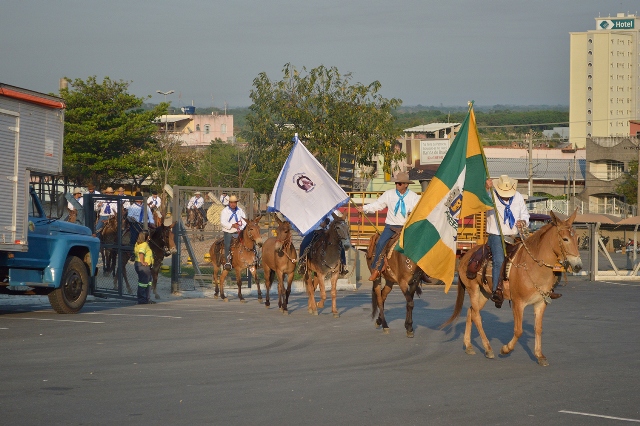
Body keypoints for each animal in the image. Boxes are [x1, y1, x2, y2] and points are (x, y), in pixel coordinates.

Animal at [442, 210, 584, 366]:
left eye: (577, 238)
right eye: (565, 239)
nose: (578, 266)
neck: (533, 266)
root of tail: (466, 255)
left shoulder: (540, 303)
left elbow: (538, 328)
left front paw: (539, 355)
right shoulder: (518, 303)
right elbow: (518, 330)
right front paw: (506, 349)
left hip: (485, 293)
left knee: (471, 311)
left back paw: (468, 345)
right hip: (473, 289)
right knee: (477, 316)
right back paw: (488, 349)